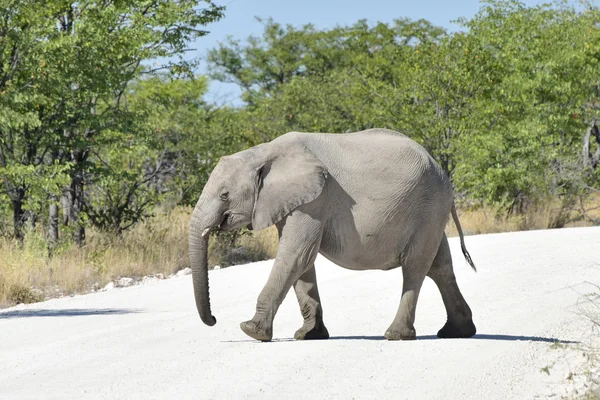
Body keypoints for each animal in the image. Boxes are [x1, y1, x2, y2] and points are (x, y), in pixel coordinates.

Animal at [190, 127, 476, 340]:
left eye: (224, 194)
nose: (214, 320)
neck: (263, 151)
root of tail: (440, 170)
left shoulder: (316, 199)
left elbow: (296, 254)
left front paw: (251, 331)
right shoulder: (292, 200)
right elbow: (302, 262)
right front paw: (308, 335)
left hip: (428, 206)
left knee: (415, 267)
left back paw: (396, 335)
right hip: (431, 212)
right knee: (440, 266)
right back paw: (458, 332)